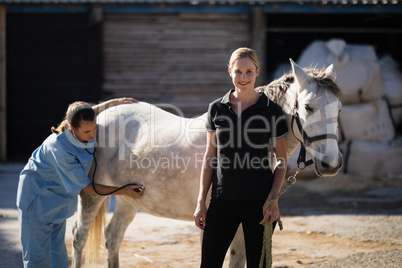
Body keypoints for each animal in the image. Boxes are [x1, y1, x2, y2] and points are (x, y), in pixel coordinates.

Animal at [71, 59, 342, 266]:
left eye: (338, 108)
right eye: (308, 107)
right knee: (79, 237)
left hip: (128, 200)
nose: (332, 164)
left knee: (112, 238)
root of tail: (99, 114)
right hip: (92, 196)